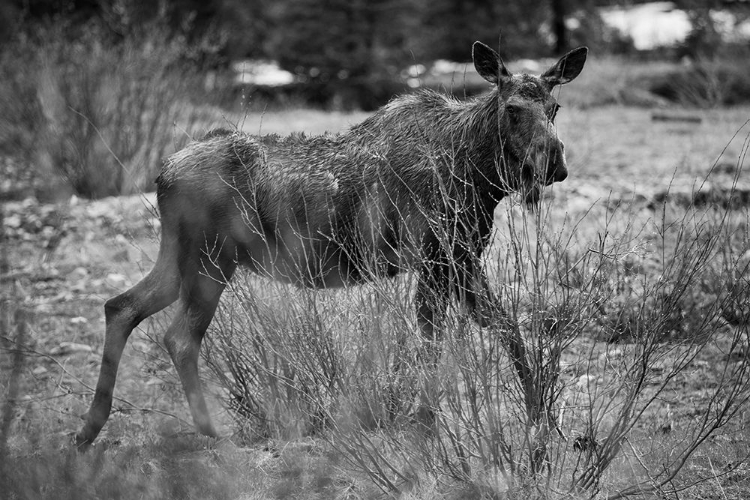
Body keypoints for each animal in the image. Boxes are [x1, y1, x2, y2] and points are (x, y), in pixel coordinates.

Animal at [75, 41, 588, 448]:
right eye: (512, 109)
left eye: (555, 109)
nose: (554, 164)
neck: (479, 174)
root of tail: (162, 174)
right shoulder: (434, 258)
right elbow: (433, 342)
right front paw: (424, 425)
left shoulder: (459, 260)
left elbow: (507, 329)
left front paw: (541, 420)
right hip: (210, 262)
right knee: (179, 337)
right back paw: (209, 432)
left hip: (180, 259)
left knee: (120, 307)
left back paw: (89, 430)